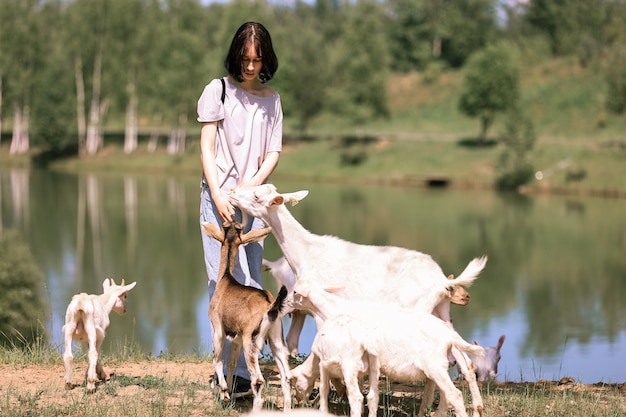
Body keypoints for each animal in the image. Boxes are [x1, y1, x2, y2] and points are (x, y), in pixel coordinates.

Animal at [202, 221, 292, 410]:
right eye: (229, 227)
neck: (226, 279)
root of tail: (270, 306)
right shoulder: (237, 339)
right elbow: (231, 363)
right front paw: (228, 392)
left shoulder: (218, 329)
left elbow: (218, 360)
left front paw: (224, 392)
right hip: (276, 340)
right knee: (287, 377)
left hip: (251, 342)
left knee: (257, 380)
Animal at [294, 282, 486, 416]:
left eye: (295, 383)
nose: (299, 402)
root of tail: (446, 333)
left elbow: (331, 384)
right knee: (462, 370)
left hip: (435, 364)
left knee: (456, 387)